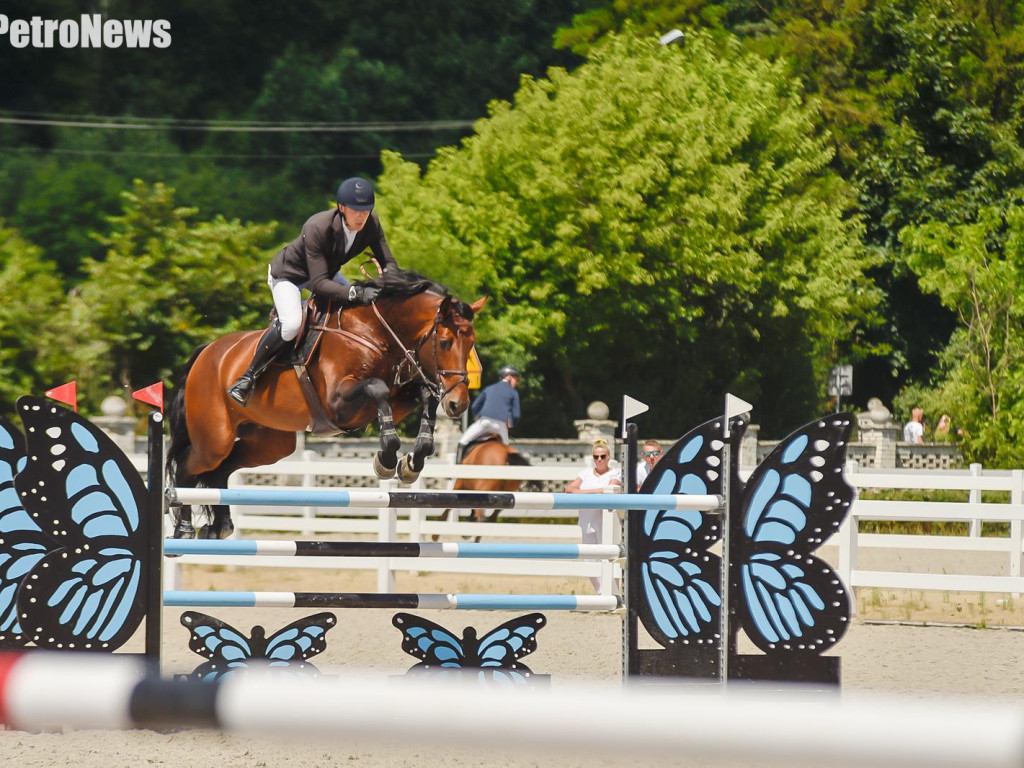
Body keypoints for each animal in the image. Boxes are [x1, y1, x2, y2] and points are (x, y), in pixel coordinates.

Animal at [166, 270, 483, 540]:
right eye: (445, 342)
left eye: (471, 343)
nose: (458, 404)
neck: (373, 332)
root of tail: (205, 353)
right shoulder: (338, 404)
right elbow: (377, 389)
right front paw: (387, 459)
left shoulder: (398, 395)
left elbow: (426, 396)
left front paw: (412, 462)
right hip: (214, 438)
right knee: (188, 467)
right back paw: (183, 527)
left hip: (269, 443)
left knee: (220, 470)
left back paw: (219, 526)